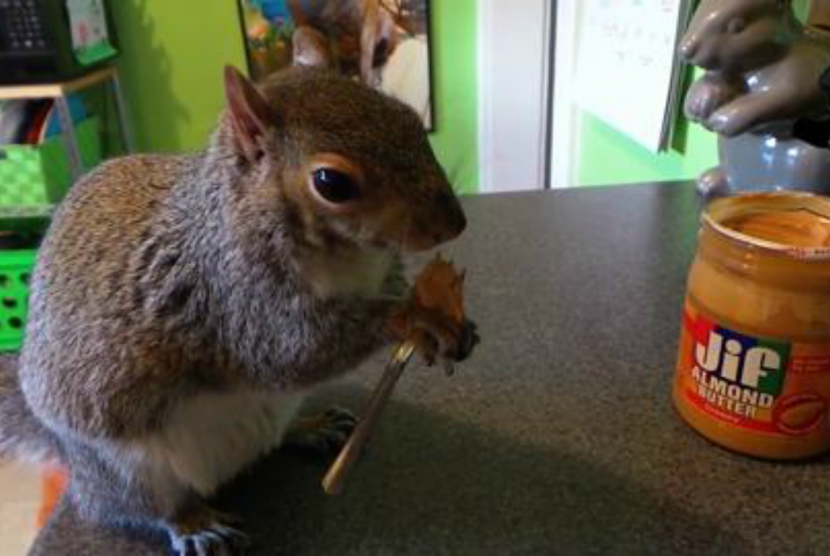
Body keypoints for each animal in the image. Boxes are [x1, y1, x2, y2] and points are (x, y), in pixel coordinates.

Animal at [0, 66, 468, 556]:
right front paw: (413, 318)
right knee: (143, 507)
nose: (455, 224)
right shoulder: (231, 297)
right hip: (127, 471)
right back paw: (193, 523)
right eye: (332, 183)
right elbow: (293, 350)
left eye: (411, 118)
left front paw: (439, 311)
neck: (350, 259)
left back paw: (310, 426)